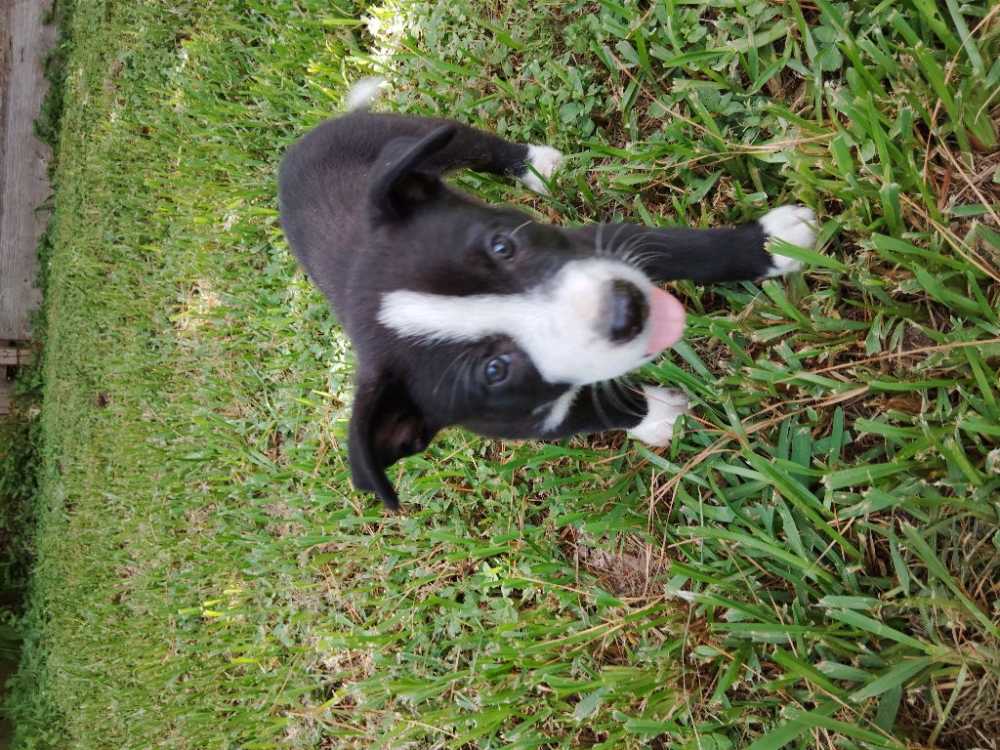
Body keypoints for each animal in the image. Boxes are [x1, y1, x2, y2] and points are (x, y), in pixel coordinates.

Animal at [278, 80, 816, 510]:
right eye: (494, 371)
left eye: (503, 245)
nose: (627, 309)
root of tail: (292, 154)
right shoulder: (530, 422)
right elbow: (598, 412)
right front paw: (657, 417)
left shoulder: (592, 244)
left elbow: (681, 248)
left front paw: (769, 244)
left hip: (422, 138)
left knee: (476, 146)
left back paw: (537, 166)